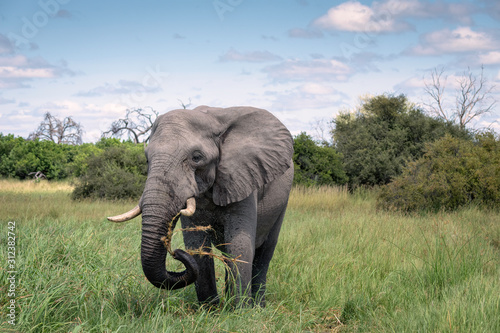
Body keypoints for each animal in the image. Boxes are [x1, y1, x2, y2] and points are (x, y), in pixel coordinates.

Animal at [106, 104, 292, 306]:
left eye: (196, 157)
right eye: (147, 158)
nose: (175, 253)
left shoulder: (242, 177)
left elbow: (239, 244)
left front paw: (240, 310)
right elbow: (196, 244)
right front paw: (210, 308)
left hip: (282, 202)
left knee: (265, 252)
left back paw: (258, 306)